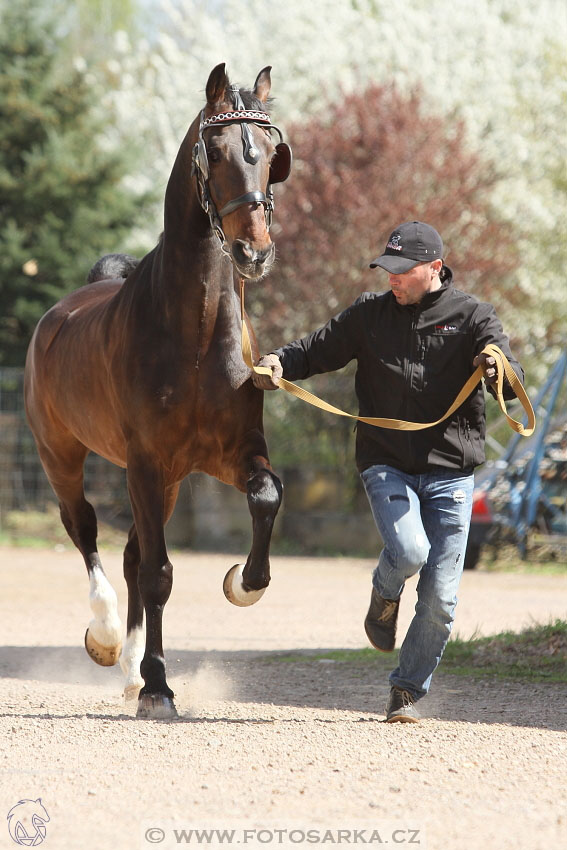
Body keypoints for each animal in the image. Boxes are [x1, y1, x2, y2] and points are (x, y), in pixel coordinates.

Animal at [23, 63, 292, 720]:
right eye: (215, 152)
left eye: (271, 150)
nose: (254, 251)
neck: (193, 334)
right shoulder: (145, 461)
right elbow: (159, 575)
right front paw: (157, 689)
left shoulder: (227, 455)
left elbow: (267, 496)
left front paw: (242, 583)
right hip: (62, 456)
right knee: (86, 531)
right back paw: (107, 641)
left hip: (166, 482)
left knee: (128, 551)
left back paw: (126, 668)